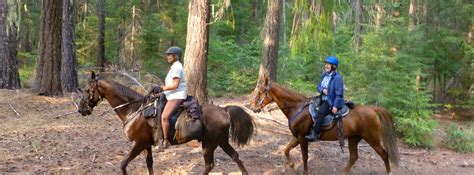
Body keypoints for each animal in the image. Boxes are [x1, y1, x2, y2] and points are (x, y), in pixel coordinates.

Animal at [78, 71, 256, 175]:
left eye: (87, 90)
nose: (81, 110)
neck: (134, 110)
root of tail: (224, 110)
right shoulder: (146, 144)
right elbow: (149, 164)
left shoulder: (139, 143)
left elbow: (123, 164)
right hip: (221, 141)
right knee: (235, 156)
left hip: (210, 143)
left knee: (209, 165)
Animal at [250, 75, 398, 175]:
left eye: (260, 92)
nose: (252, 107)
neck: (297, 108)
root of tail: (373, 109)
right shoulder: (297, 137)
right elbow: (286, 149)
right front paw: (292, 165)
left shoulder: (303, 138)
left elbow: (305, 157)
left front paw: (304, 172)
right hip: (354, 138)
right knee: (354, 157)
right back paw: (342, 172)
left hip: (372, 138)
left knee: (384, 154)